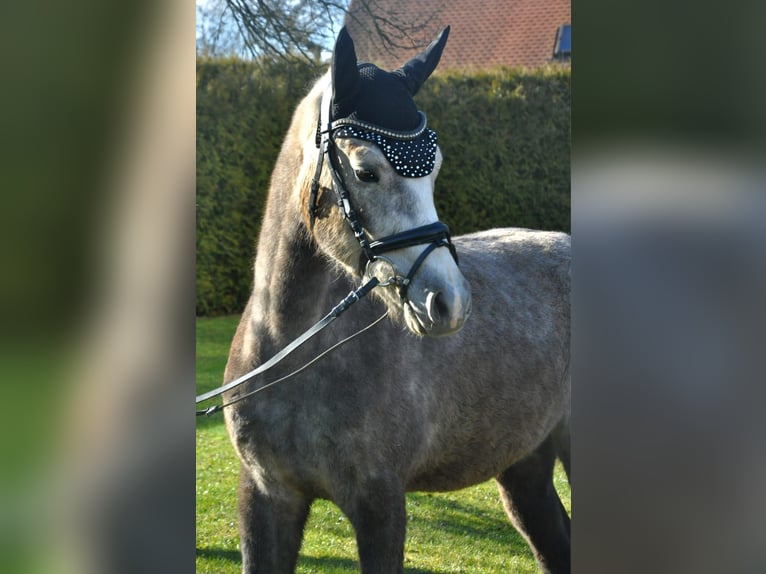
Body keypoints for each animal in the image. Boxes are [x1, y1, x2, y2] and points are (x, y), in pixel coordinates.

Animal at [219, 25, 572, 572]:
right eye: (367, 172)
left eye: (435, 169)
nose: (448, 302)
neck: (290, 349)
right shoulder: (265, 495)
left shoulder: (379, 502)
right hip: (525, 466)